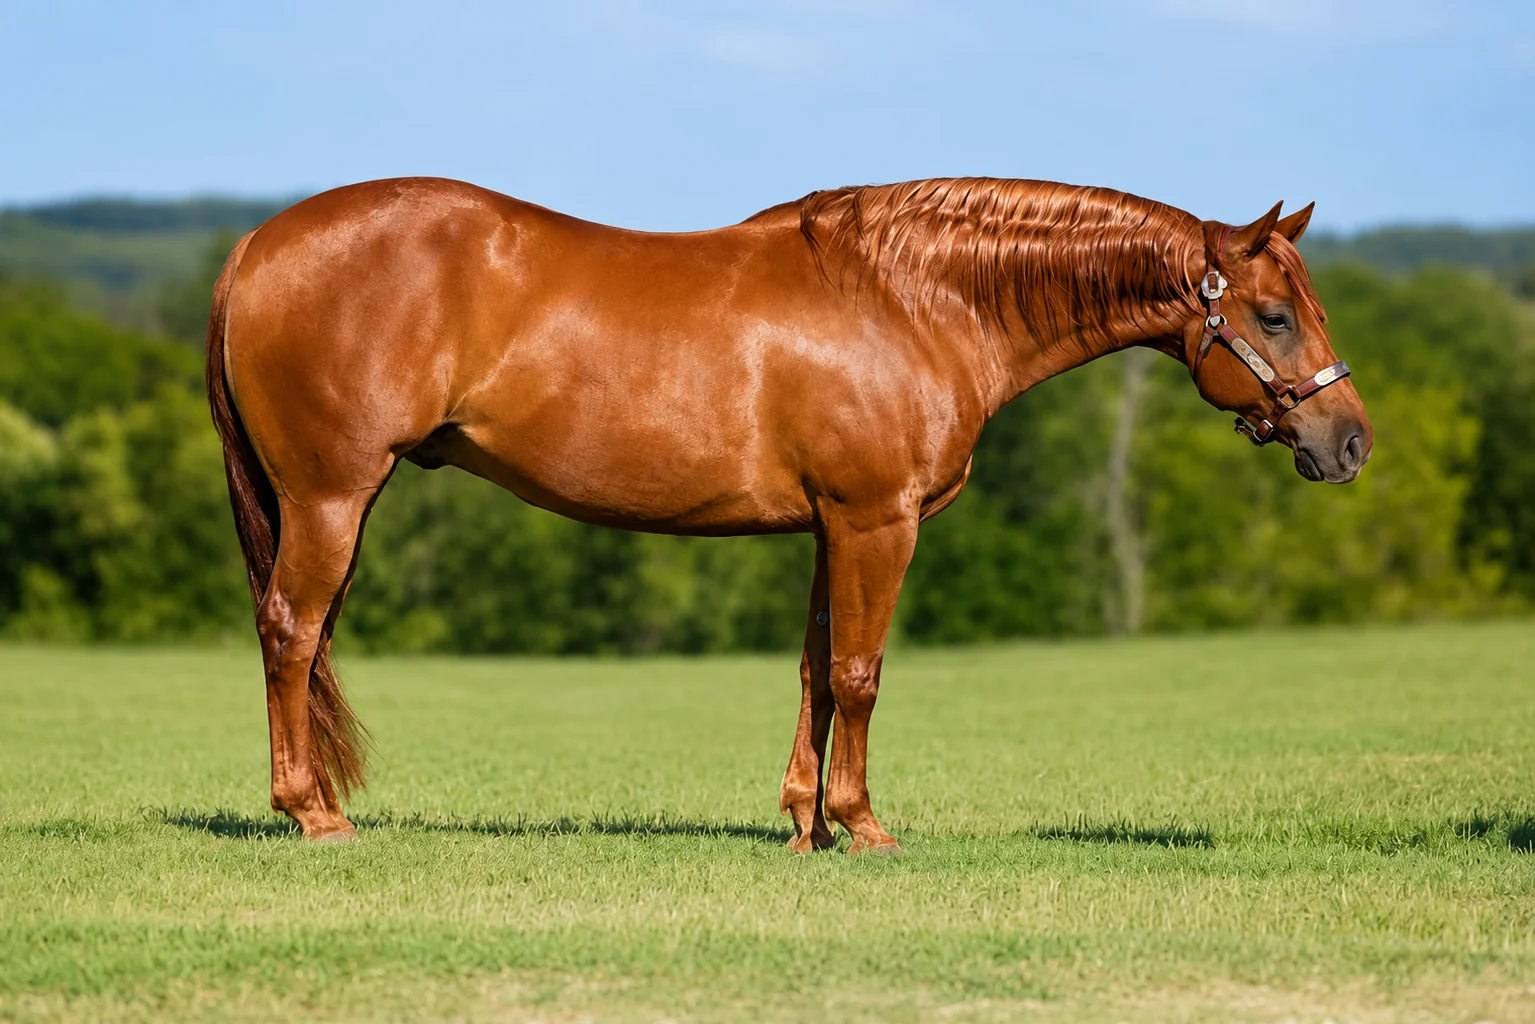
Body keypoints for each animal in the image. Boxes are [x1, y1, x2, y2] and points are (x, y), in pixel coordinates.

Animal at [205, 176, 1371, 850]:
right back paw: (312, 812)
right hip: (330, 496)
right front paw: (860, 825)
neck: (909, 298)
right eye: (1273, 314)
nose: (1348, 441)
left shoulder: (828, 527)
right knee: (290, 633)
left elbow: (815, 670)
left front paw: (805, 824)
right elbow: (859, 673)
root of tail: (258, 243)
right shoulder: (875, 521)